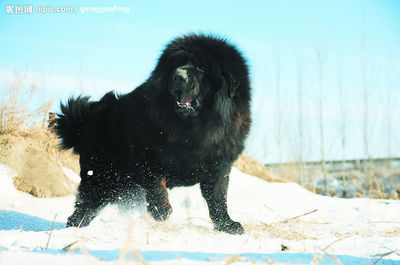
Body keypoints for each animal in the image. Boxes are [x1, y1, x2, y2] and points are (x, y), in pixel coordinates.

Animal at [56, 33, 250, 233]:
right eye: (177, 64)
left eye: (200, 67)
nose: (178, 76)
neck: (191, 130)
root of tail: (85, 120)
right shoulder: (146, 154)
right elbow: (156, 183)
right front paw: (161, 210)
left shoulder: (220, 166)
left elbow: (218, 198)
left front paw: (227, 224)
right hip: (101, 179)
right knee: (84, 207)